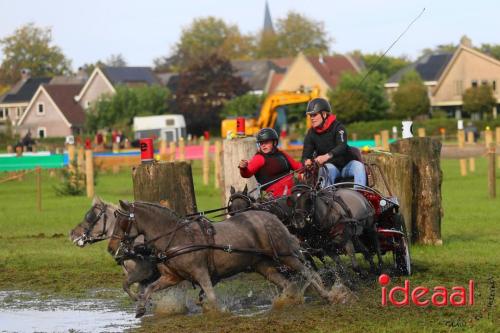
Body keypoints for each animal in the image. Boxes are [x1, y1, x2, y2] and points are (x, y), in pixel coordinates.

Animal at [108, 200, 336, 316]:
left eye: (121, 222)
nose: (111, 248)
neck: (176, 237)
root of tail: (272, 216)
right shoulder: (171, 277)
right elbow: (149, 289)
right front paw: (140, 307)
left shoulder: (201, 273)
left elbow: (210, 296)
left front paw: (220, 311)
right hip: (263, 264)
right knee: (287, 283)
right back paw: (287, 301)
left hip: (285, 255)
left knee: (308, 272)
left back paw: (328, 295)